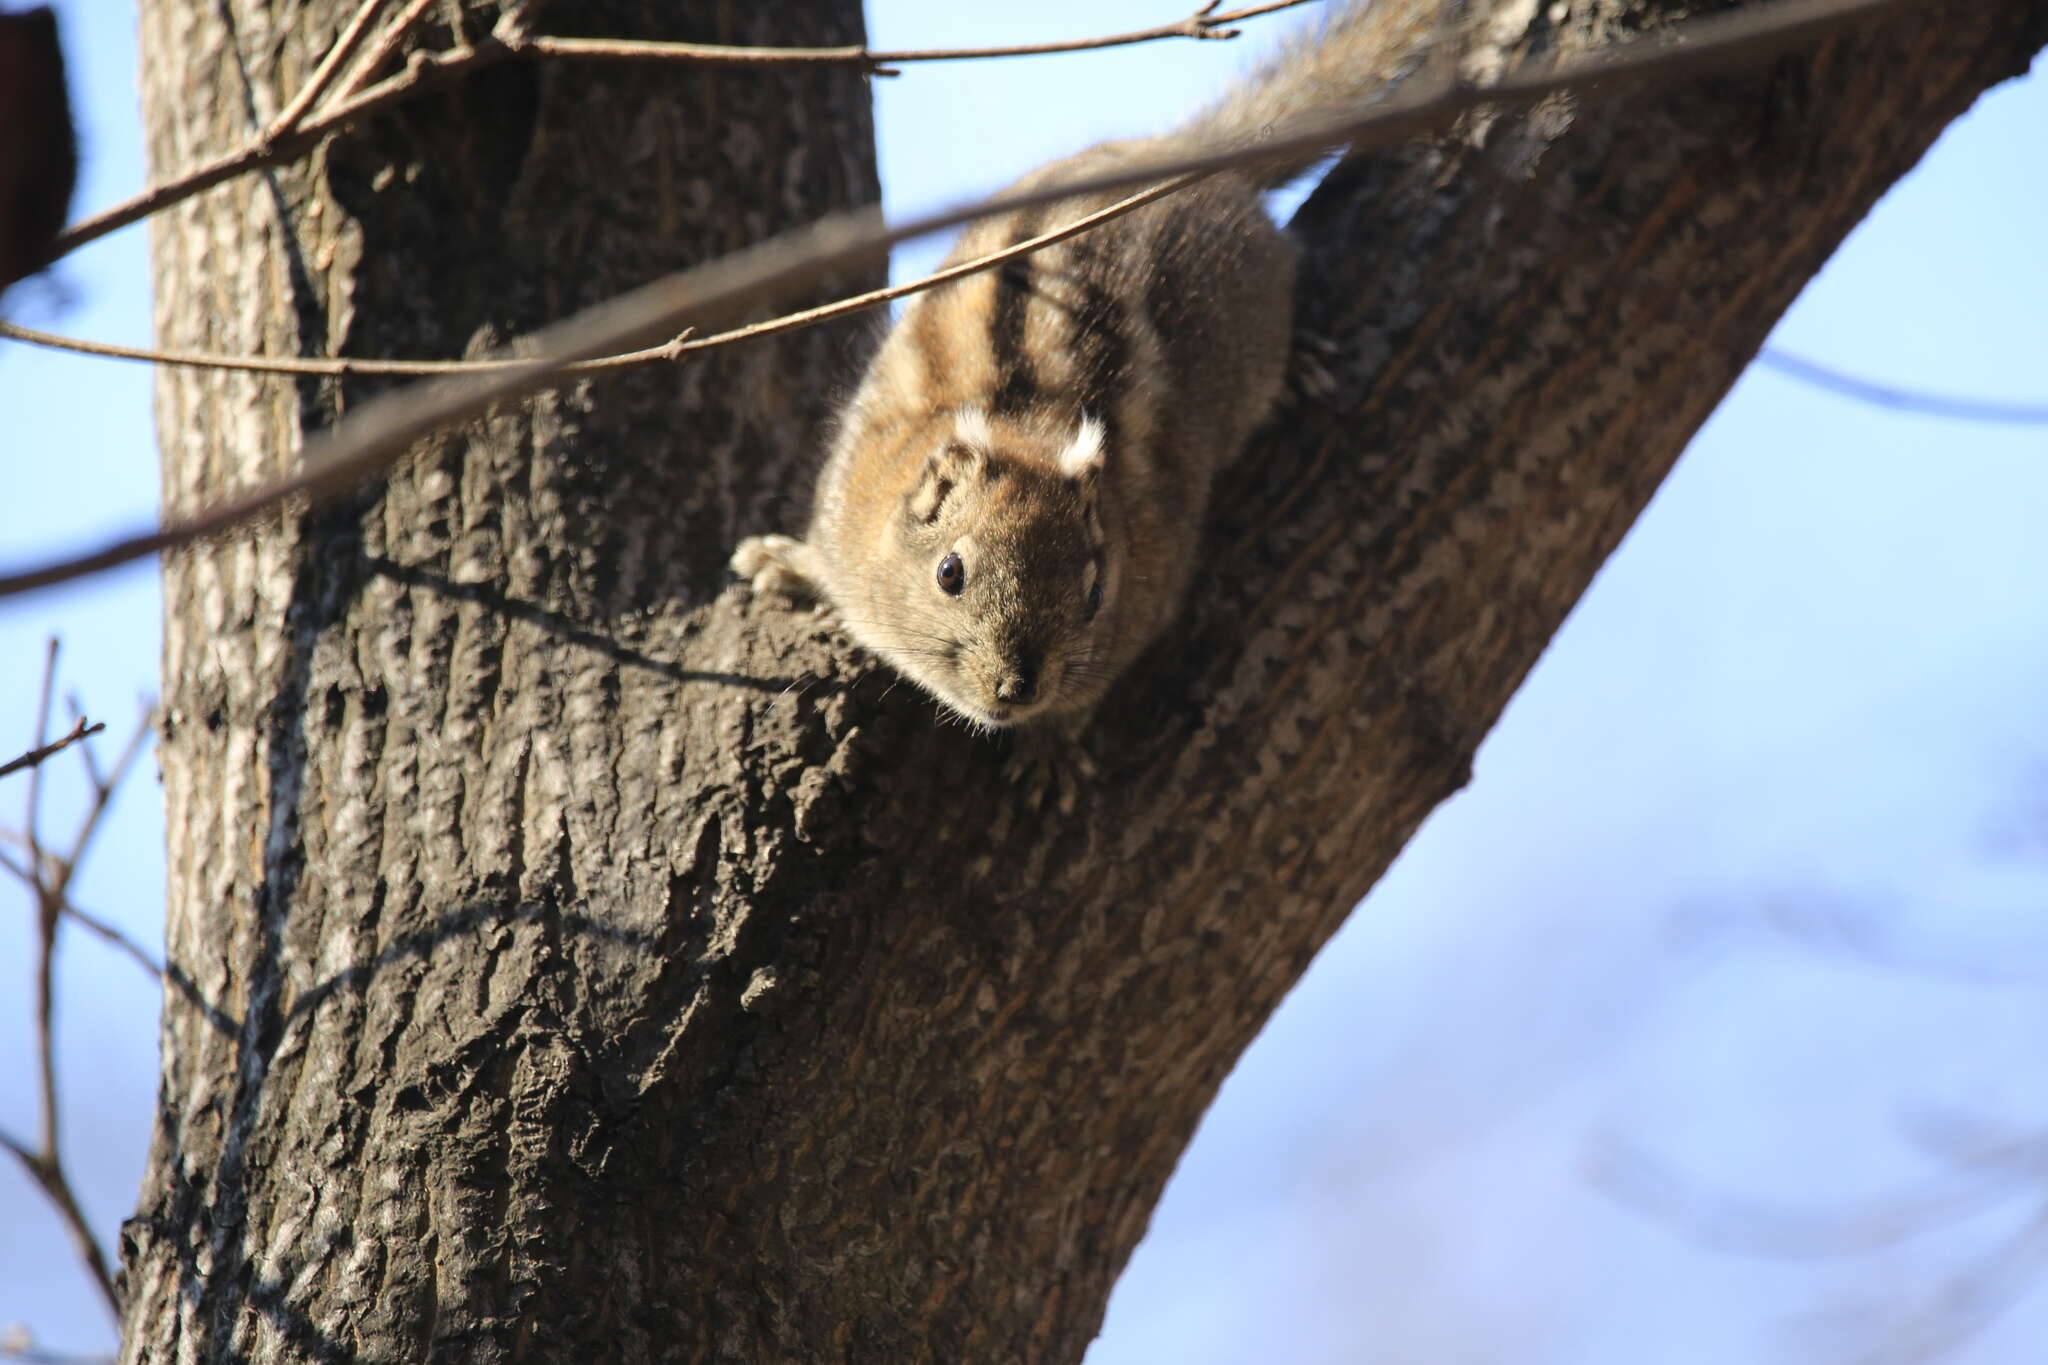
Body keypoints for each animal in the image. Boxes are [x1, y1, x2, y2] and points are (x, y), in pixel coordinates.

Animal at [737, 2, 1441, 736]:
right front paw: (786, 564)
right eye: (949, 572)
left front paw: (1061, 744)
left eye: (1096, 594)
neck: (1024, 421)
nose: (1015, 688)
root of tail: (1182, 158)